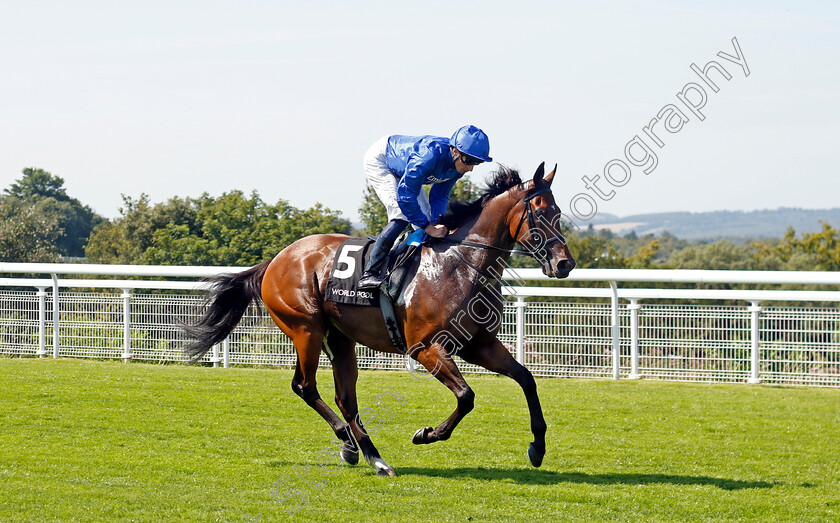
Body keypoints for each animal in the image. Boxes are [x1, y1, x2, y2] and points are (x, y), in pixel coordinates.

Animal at [182, 162, 576, 476]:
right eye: (540, 213)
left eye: (558, 212)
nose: (564, 264)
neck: (459, 265)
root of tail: (276, 259)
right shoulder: (425, 347)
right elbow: (466, 396)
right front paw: (427, 434)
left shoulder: (478, 344)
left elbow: (526, 379)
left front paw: (537, 448)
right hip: (306, 328)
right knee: (305, 387)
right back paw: (355, 445)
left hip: (339, 338)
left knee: (345, 398)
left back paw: (369, 455)